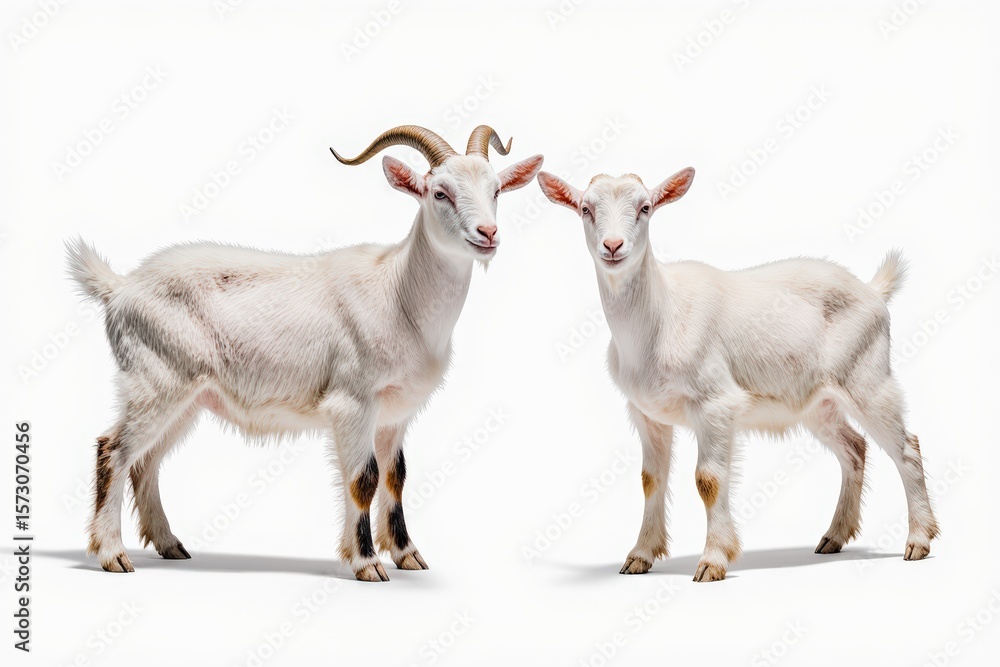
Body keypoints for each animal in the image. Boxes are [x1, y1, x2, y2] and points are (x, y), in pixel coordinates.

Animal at [67, 125, 544, 582]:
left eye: (496, 190)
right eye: (440, 192)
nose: (488, 233)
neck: (398, 292)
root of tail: (120, 288)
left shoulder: (395, 412)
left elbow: (395, 477)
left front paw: (406, 555)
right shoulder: (352, 402)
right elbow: (363, 479)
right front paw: (366, 564)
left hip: (187, 396)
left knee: (145, 462)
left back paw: (169, 544)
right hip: (155, 381)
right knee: (113, 451)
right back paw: (112, 555)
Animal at [538, 168, 938, 582]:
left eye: (645, 207)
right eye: (585, 208)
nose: (613, 245)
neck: (660, 316)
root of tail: (874, 291)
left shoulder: (716, 404)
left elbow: (708, 480)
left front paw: (713, 560)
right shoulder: (647, 412)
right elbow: (651, 480)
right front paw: (640, 556)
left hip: (868, 378)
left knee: (907, 448)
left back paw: (918, 540)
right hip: (819, 402)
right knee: (854, 448)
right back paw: (834, 537)